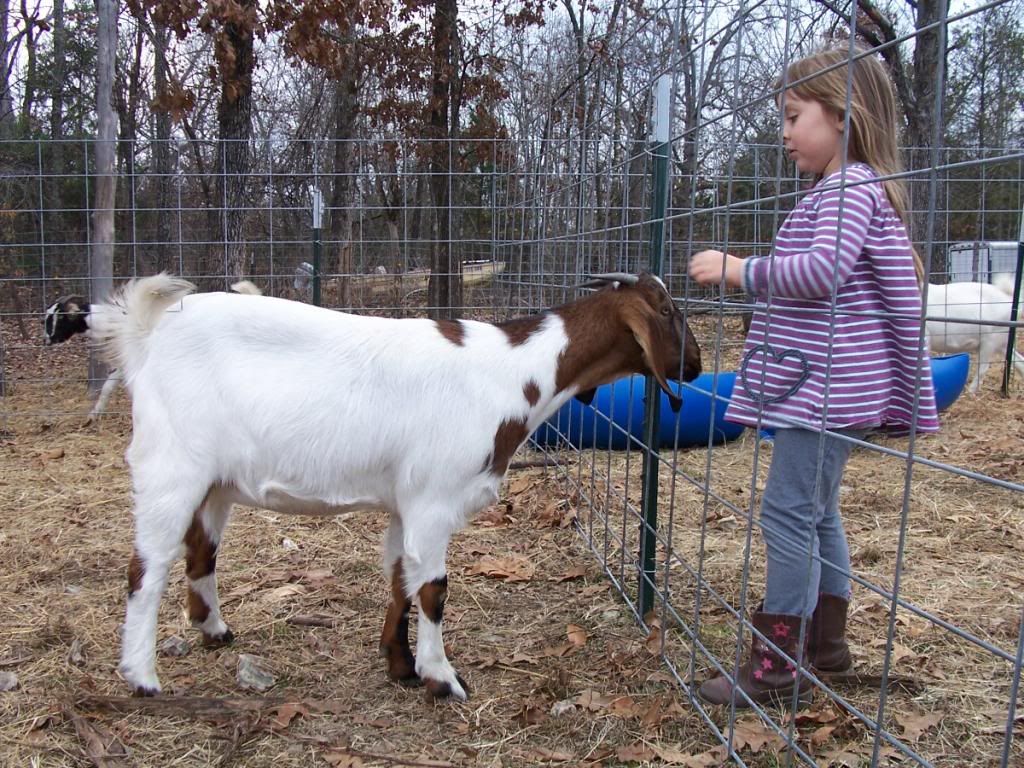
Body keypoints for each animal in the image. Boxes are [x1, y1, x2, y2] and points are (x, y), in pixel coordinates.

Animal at [83, 272, 701, 699]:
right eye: (670, 310)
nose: (695, 367)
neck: (511, 374)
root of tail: (145, 333)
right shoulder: (434, 499)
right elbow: (434, 589)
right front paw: (441, 678)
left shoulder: (407, 503)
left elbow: (402, 578)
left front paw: (399, 665)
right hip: (169, 468)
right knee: (146, 569)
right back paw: (142, 677)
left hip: (213, 483)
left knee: (201, 552)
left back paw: (214, 630)